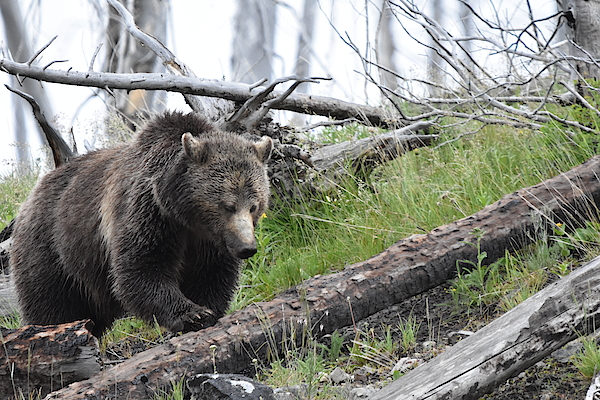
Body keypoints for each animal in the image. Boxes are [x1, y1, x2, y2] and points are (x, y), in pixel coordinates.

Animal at [10, 110, 274, 338]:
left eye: (254, 205)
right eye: (228, 205)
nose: (247, 247)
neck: (185, 214)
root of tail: (29, 199)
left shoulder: (210, 240)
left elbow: (212, 273)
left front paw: (208, 309)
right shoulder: (147, 211)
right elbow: (141, 267)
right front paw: (192, 314)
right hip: (53, 251)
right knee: (53, 306)